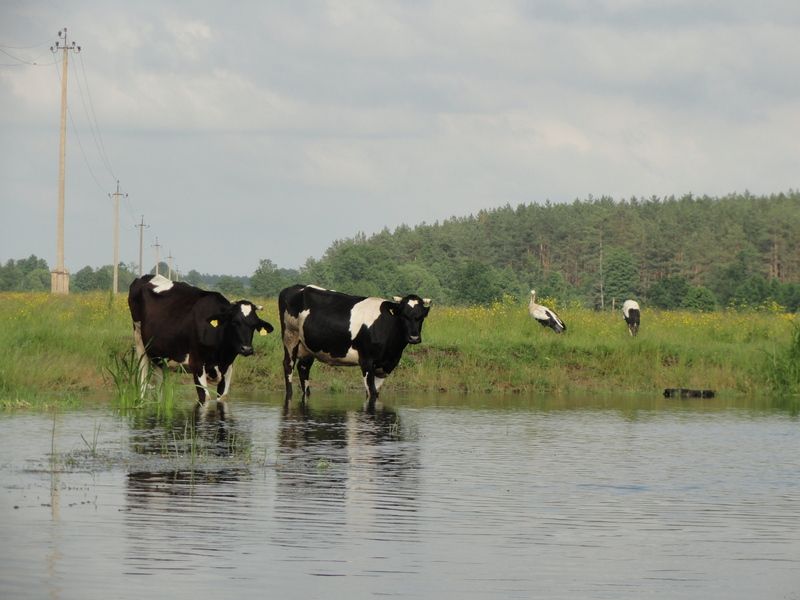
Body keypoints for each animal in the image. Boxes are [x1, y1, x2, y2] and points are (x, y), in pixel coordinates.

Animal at [127, 274, 273, 405]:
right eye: (234, 322)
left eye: (254, 325)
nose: (247, 349)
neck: (221, 353)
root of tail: (145, 277)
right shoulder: (197, 364)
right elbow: (206, 398)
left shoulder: (228, 367)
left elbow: (223, 398)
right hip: (140, 343)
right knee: (142, 380)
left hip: (159, 357)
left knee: (159, 386)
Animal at [278, 284, 432, 405]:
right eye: (403, 315)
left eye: (421, 317)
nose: (414, 337)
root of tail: (293, 287)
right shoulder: (367, 362)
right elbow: (372, 393)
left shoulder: (385, 367)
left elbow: (376, 392)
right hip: (290, 337)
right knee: (288, 365)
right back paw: (290, 394)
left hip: (308, 347)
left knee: (303, 368)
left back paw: (307, 394)